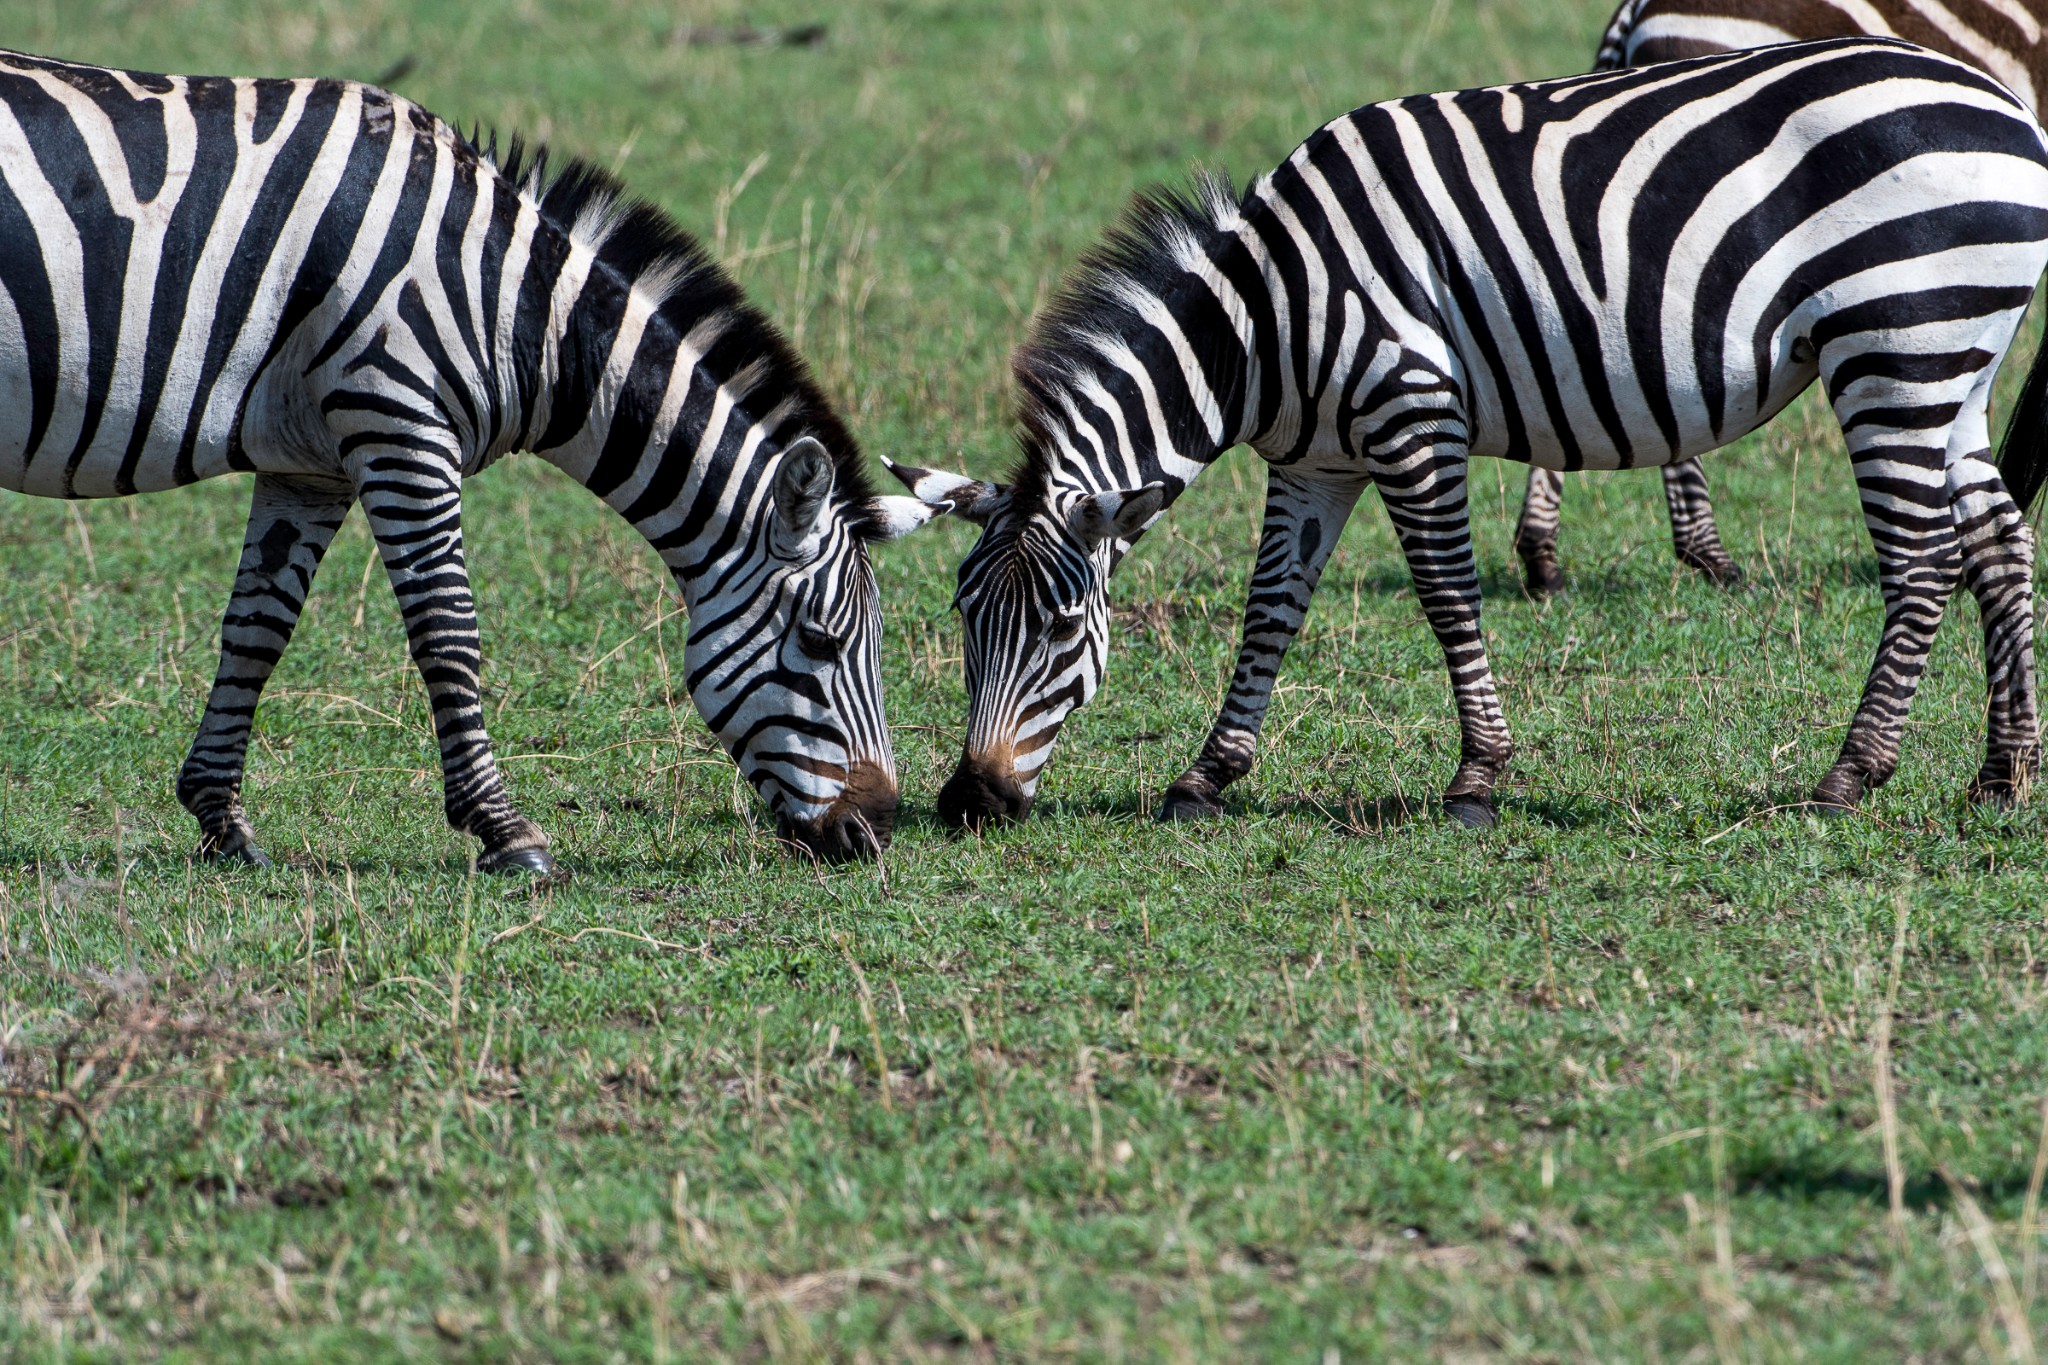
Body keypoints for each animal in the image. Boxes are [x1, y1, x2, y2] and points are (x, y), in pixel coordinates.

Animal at [0, 50, 942, 875]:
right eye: (820, 640)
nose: (875, 832)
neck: (513, 308)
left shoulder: (309, 464)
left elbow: (257, 628)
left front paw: (221, 820)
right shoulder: (398, 419)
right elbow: (450, 630)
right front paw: (504, 830)